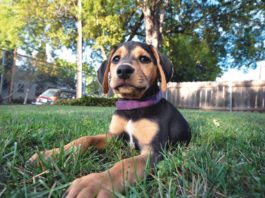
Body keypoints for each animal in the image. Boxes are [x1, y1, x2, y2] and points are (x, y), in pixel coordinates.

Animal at [28, 41, 190, 197]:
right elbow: (85, 139)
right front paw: (52, 154)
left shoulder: (153, 151)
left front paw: (94, 183)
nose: (123, 70)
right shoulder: (114, 136)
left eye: (144, 59)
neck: (133, 107)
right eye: (116, 59)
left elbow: (124, 164)